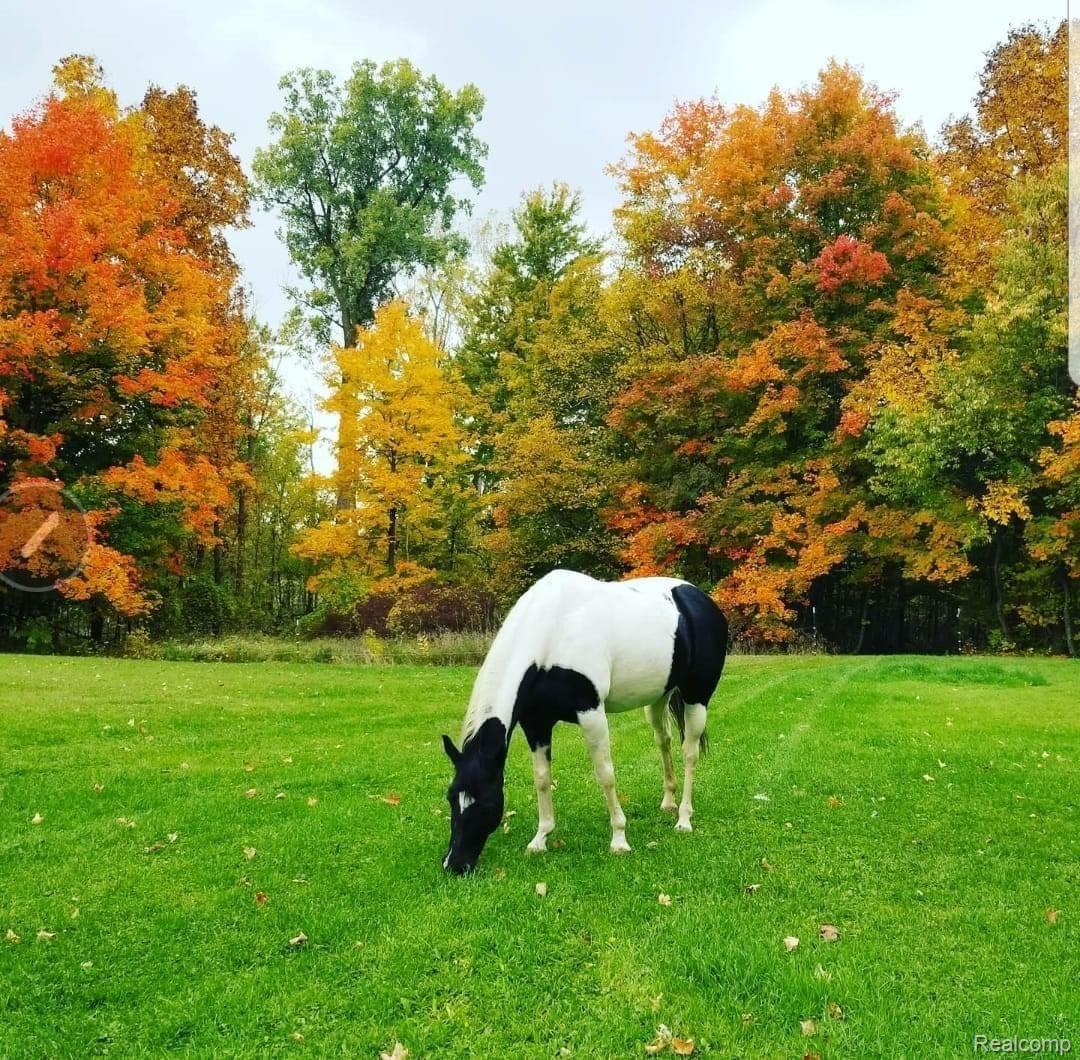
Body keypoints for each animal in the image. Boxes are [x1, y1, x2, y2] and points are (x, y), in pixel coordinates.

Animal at [441, 569, 728, 874]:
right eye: (450, 797)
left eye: (485, 802)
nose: (454, 864)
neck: (552, 633)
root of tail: (700, 599)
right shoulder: (536, 723)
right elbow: (542, 778)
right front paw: (540, 838)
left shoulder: (591, 714)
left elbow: (605, 774)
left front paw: (619, 839)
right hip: (659, 697)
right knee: (664, 741)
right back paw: (668, 803)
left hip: (697, 697)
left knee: (690, 753)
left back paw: (684, 819)